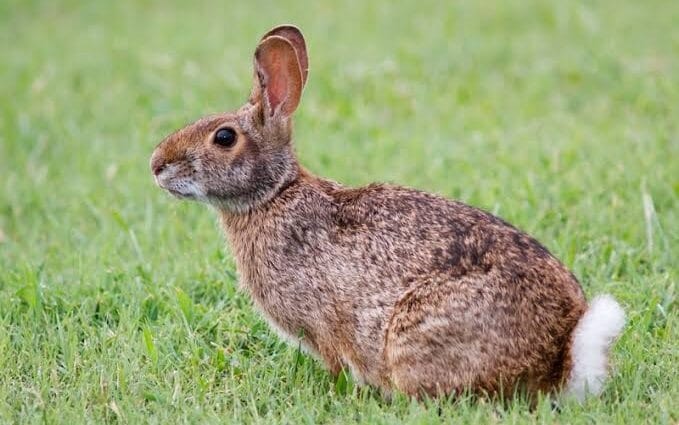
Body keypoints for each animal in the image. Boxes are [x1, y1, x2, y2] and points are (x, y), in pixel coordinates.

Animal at [150, 25, 625, 400]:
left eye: (224, 137)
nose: (156, 165)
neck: (273, 195)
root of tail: (559, 358)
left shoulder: (323, 322)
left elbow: (335, 362)